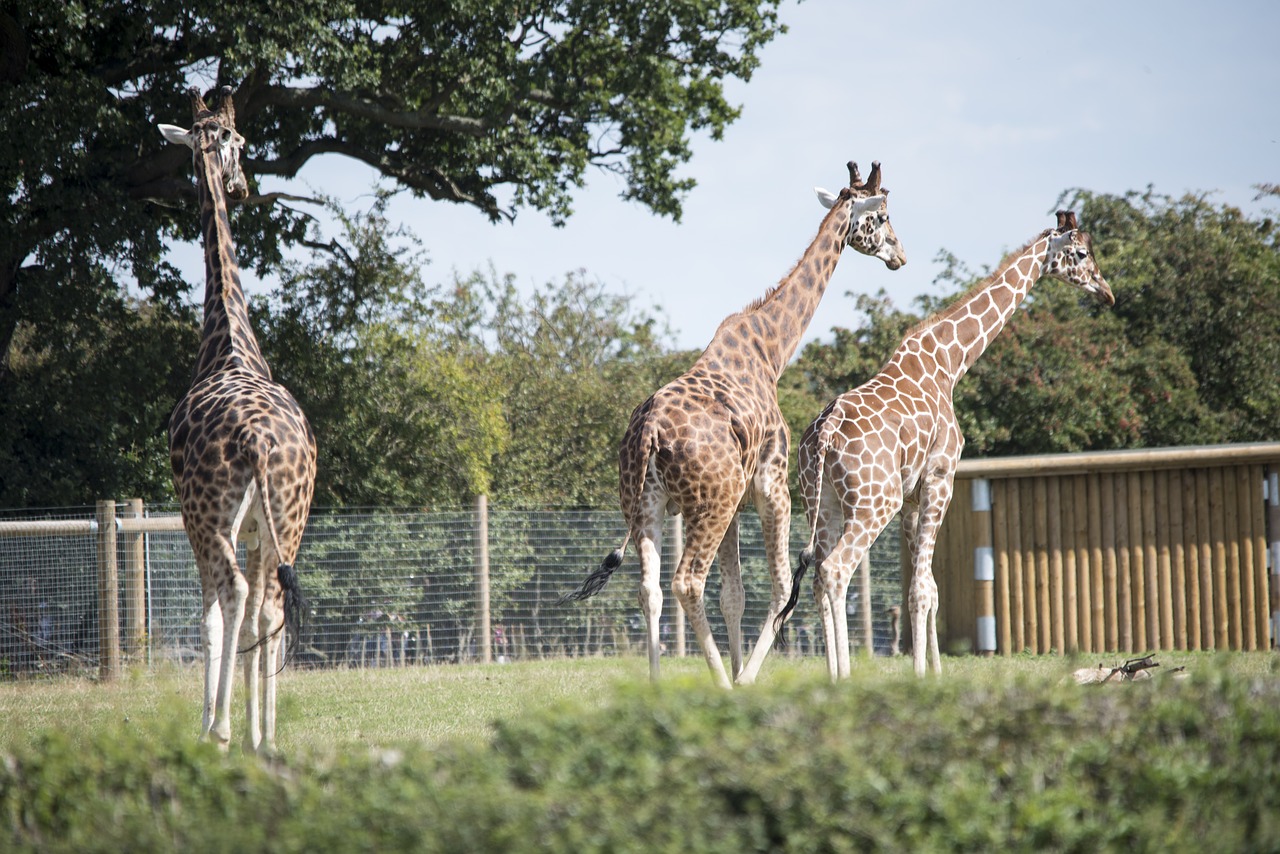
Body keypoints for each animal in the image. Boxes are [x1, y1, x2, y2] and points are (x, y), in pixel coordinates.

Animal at [563, 163, 911, 691]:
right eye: (884, 215)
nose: (900, 256)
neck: (772, 350)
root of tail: (648, 434)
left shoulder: (733, 506)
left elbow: (734, 595)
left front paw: (736, 666)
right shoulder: (771, 485)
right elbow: (782, 585)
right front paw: (743, 677)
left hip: (647, 504)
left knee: (650, 589)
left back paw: (658, 686)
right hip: (710, 504)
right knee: (687, 581)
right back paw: (724, 685)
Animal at [773, 209, 1116, 676]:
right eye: (1081, 253)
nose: (1107, 292)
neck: (950, 362)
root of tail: (823, 434)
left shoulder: (912, 498)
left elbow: (931, 588)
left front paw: (933, 672)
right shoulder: (940, 479)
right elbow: (921, 589)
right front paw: (921, 675)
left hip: (820, 502)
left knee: (817, 577)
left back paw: (833, 676)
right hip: (873, 503)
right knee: (835, 570)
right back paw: (844, 678)